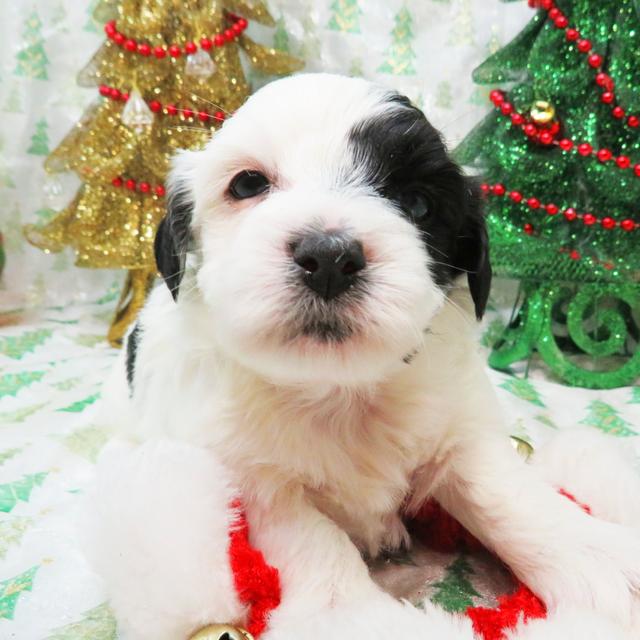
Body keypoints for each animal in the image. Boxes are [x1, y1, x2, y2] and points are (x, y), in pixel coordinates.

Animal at [92, 72, 640, 636]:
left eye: (418, 205)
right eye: (247, 185)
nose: (329, 256)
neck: (339, 390)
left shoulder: (458, 425)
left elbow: (503, 490)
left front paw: (598, 559)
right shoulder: (245, 470)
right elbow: (308, 534)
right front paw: (351, 614)